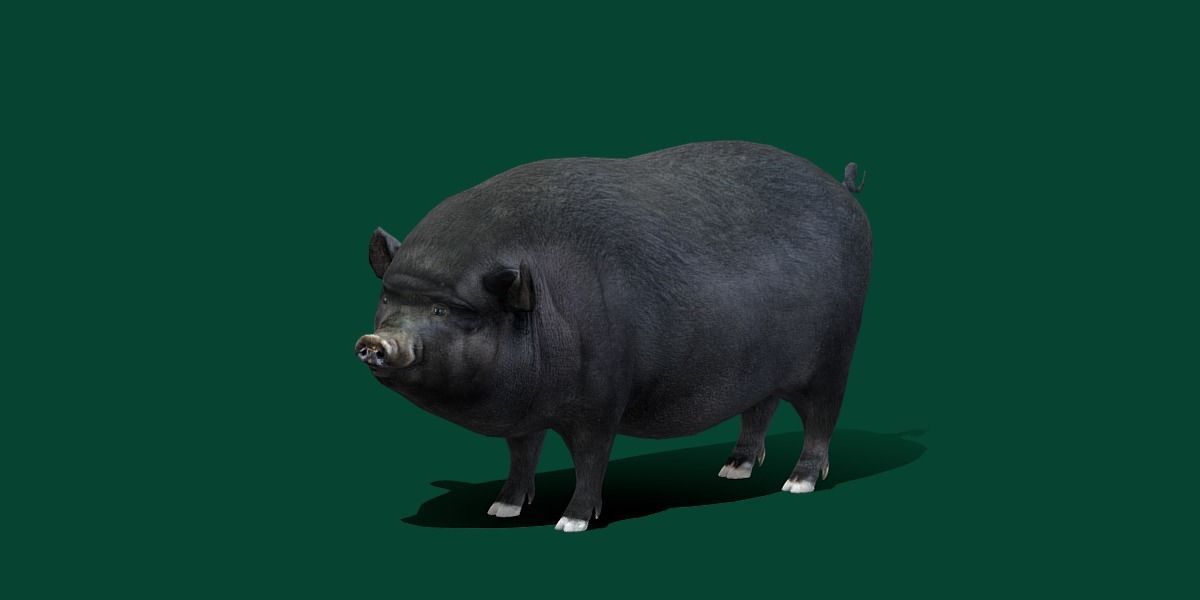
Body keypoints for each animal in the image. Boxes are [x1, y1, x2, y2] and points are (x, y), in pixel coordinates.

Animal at [356, 141, 871, 532]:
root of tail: (844, 190)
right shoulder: (525, 413)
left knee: (822, 417)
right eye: (388, 297)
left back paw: (797, 483)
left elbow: (591, 459)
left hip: (835, 352)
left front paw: (570, 523)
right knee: (759, 409)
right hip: (761, 371)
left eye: (446, 309)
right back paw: (733, 470)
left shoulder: (602, 398)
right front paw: (501, 508)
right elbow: (522, 454)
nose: (377, 342)